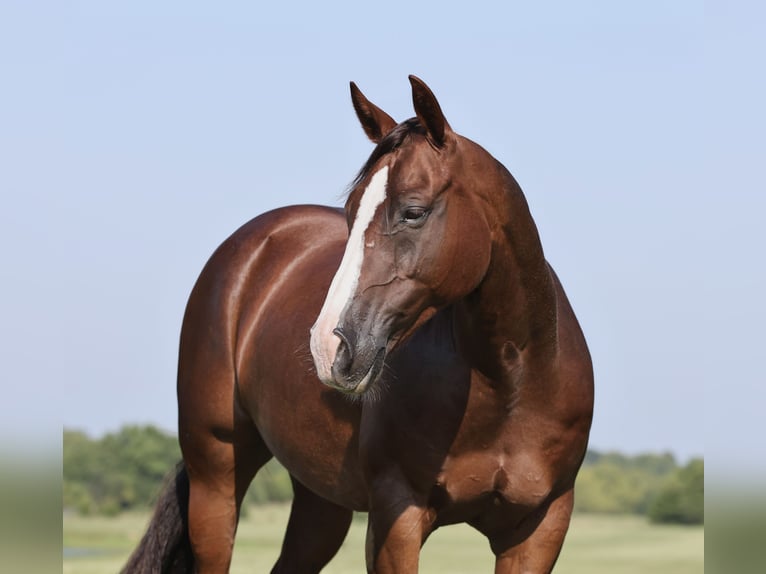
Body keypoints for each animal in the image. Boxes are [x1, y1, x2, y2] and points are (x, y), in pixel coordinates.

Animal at [124, 76, 592, 574]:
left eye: (413, 211)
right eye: (350, 211)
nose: (329, 347)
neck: (510, 382)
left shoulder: (538, 529)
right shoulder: (396, 519)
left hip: (319, 502)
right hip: (216, 479)